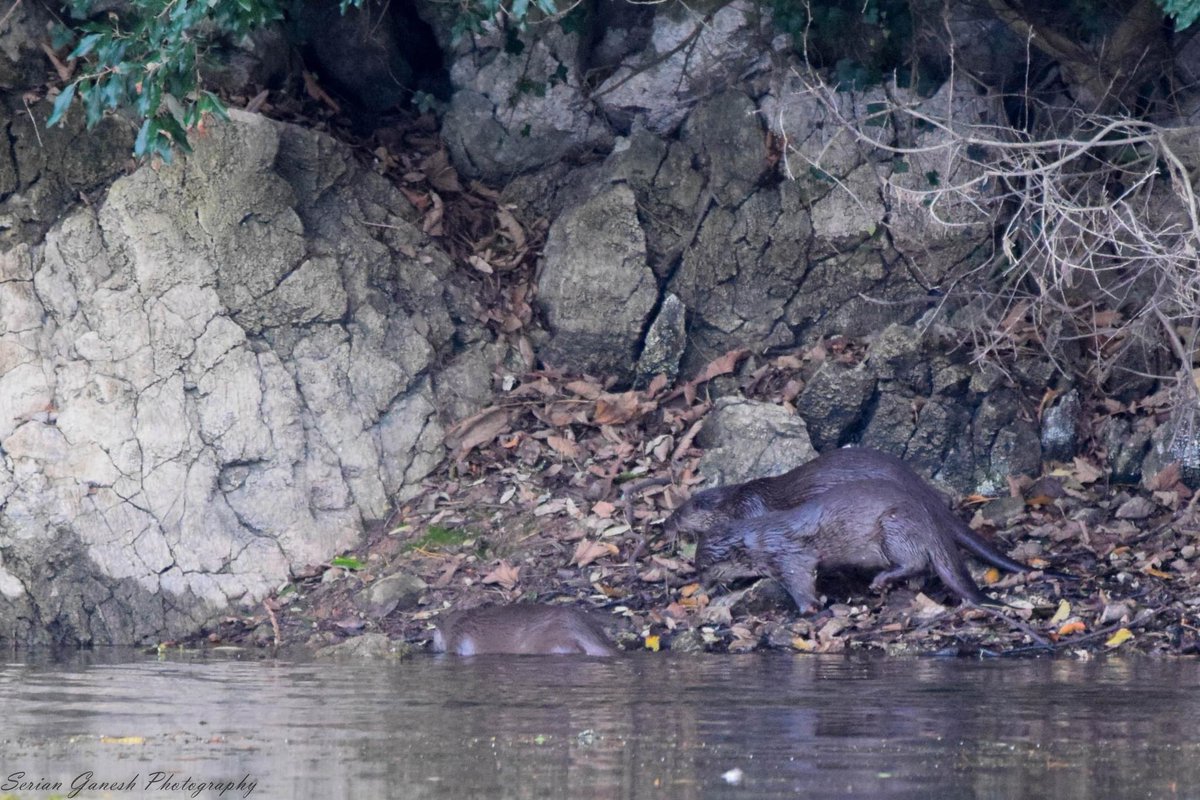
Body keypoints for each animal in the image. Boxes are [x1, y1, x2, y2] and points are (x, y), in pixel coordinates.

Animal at [693, 480, 994, 611]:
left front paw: (807, 609)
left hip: (895, 527)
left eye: (703, 568)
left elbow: (800, 582)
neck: (761, 540)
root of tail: (931, 520)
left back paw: (881, 580)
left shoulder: (789, 557)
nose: (701, 587)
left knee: (915, 560)